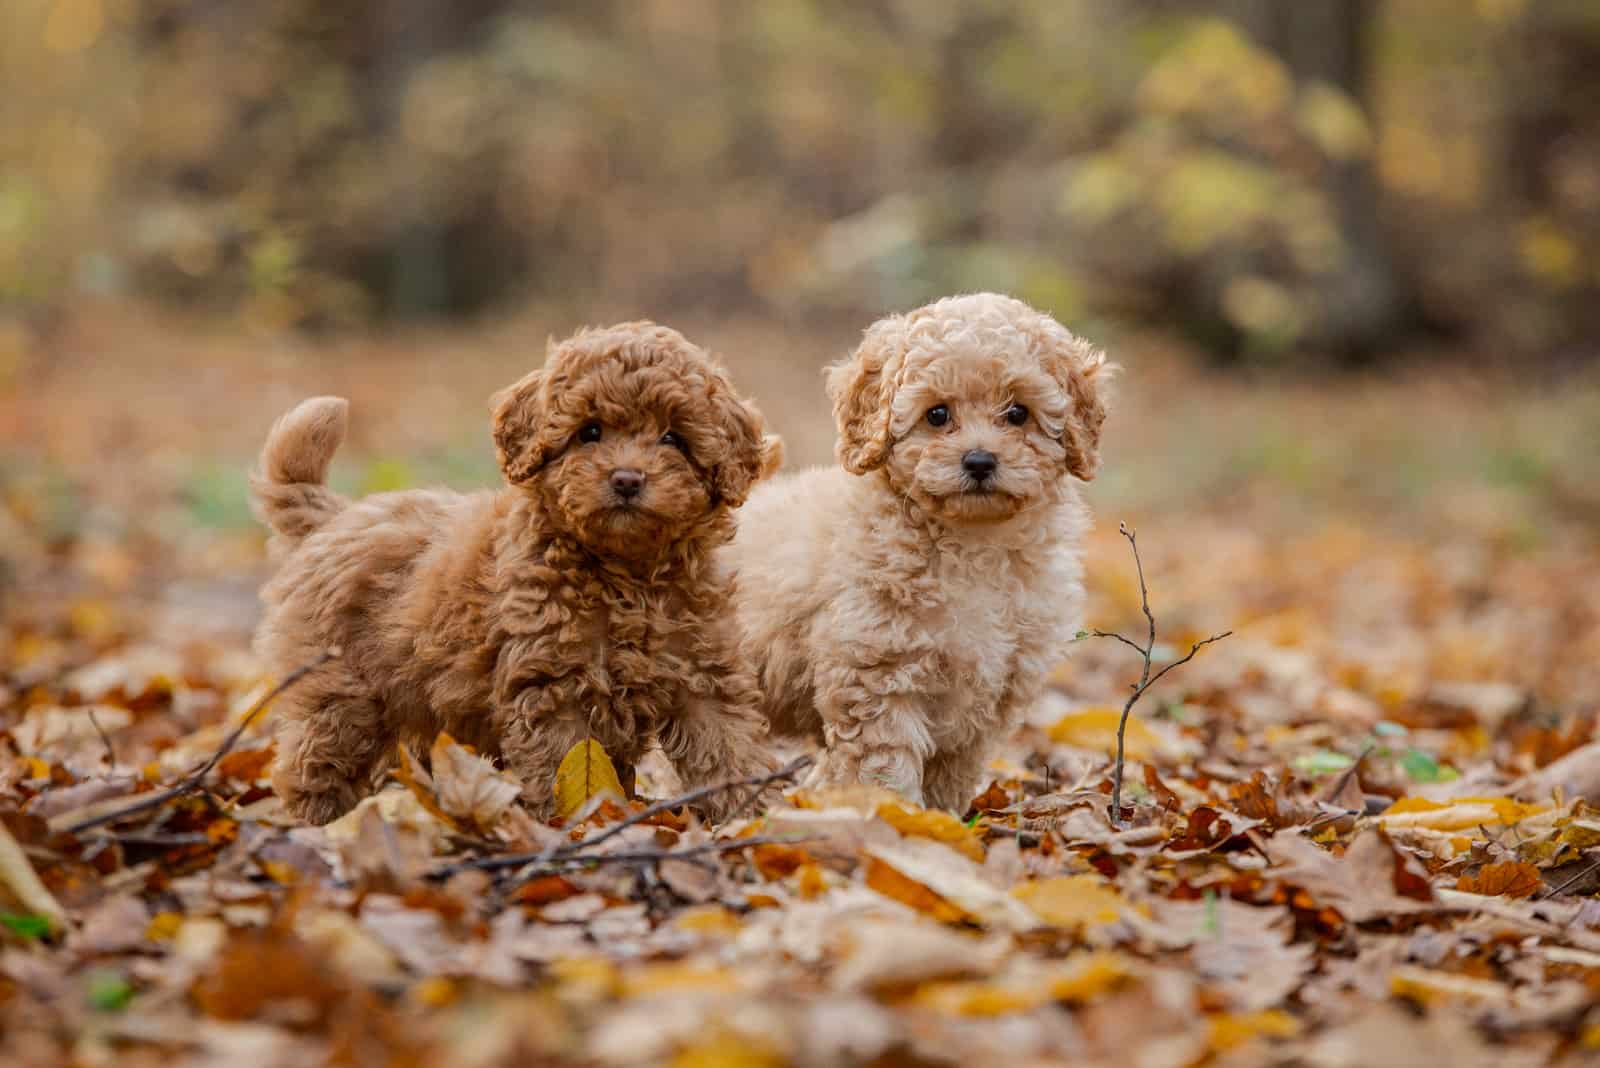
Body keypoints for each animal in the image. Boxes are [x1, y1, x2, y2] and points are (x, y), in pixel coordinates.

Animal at [249, 322, 787, 824]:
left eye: (673, 438)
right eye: (590, 432)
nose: (627, 479)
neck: (626, 574)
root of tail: (335, 517)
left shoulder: (702, 672)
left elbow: (728, 745)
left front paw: (754, 815)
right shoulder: (553, 686)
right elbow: (561, 766)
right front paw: (575, 826)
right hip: (339, 693)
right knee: (313, 762)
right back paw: (315, 824)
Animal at [726, 292, 1113, 808]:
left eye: (1018, 413)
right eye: (937, 414)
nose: (979, 461)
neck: (973, 542)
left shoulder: (992, 693)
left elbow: (950, 771)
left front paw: (944, 817)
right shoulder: (877, 671)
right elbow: (886, 763)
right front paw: (896, 815)